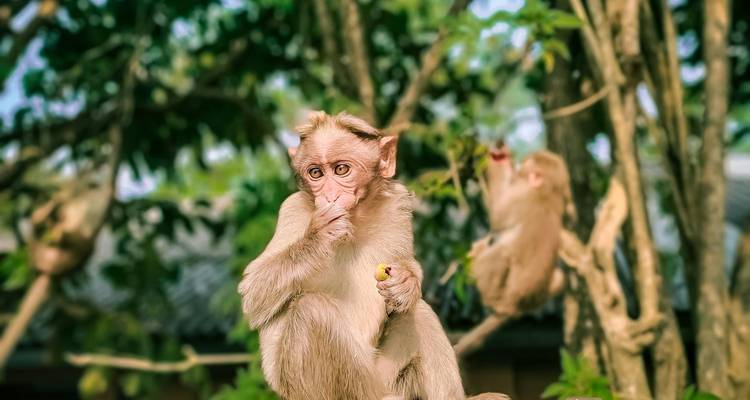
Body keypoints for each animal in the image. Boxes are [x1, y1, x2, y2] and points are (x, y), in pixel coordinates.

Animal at [237, 112, 509, 400]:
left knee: (417, 312)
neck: (356, 220)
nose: (329, 195)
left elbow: (406, 266)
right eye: (315, 173)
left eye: (341, 170)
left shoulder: (397, 204)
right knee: (312, 309)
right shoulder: (292, 210)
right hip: (335, 387)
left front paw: (405, 283)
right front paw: (322, 232)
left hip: (387, 377)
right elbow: (254, 292)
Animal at [453, 141, 575, 357]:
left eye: (524, 167)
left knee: (501, 253)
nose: (517, 168)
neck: (547, 194)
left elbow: (497, 215)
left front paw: (499, 160)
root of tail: (512, 307)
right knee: (560, 277)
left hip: (503, 292)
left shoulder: (521, 197)